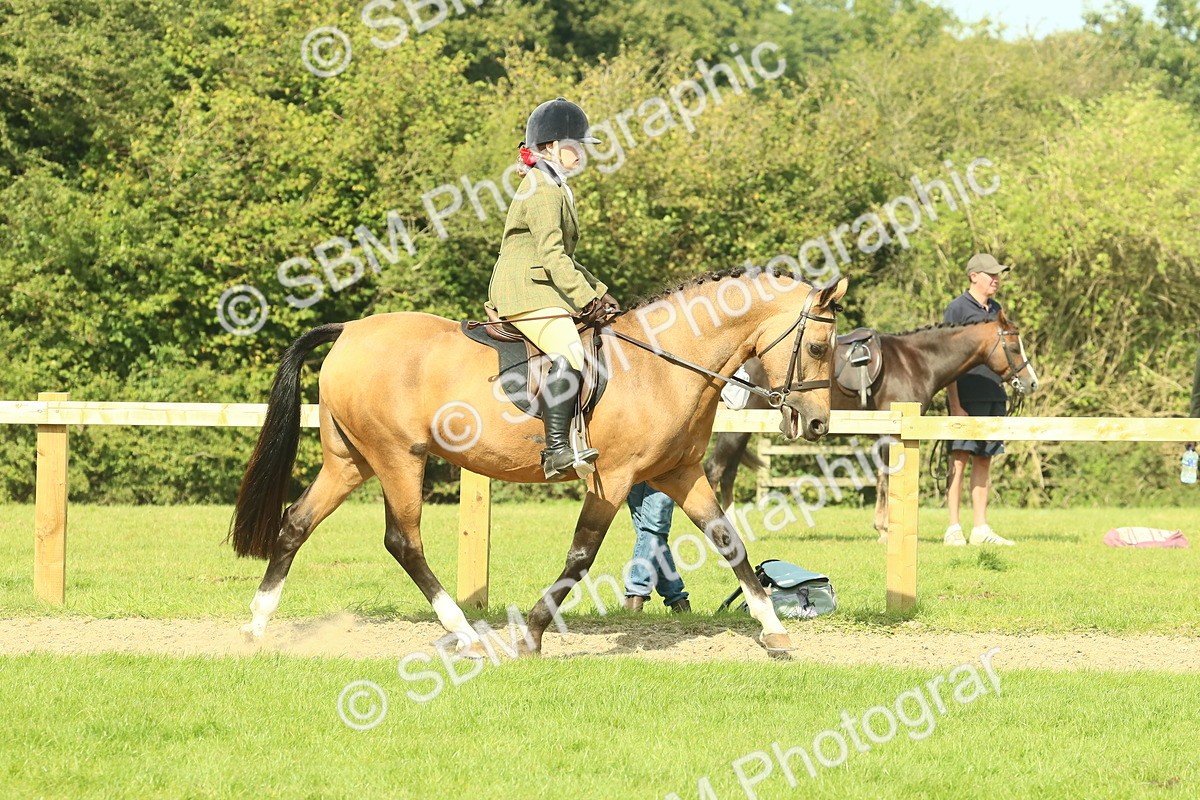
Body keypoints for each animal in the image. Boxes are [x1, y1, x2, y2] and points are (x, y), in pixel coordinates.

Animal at [228, 267, 849, 655]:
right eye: (819, 348)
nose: (817, 424)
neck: (664, 365)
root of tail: (350, 330)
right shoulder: (612, 477)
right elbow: (580, 557)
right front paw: (530, 634)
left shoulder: (680, 472)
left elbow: (730, 543)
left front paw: (774, 633)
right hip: (398, 458)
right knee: (403, 542)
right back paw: (467, 634)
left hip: (350, 461)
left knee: (296, 524)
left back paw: (256, 626)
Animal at [704, 311, 1039, 538]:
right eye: (1013, 346)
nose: (1031, 381)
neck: (916, 361)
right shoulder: (891, 435)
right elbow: (887, 480)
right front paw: (885, 529)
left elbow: (880, 479)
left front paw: (881, 527)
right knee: (716, 470)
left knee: (728, 473)